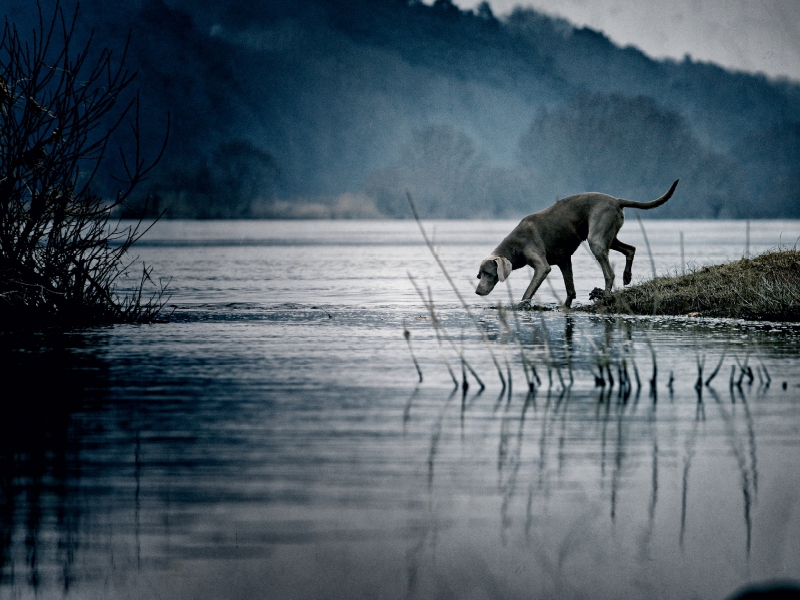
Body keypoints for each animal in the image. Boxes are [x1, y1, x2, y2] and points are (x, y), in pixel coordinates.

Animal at [478, 179, 680, 308]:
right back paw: (627, 277)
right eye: (479, 275)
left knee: (609, 273)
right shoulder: (564, 260)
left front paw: (521, 305)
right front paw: (565, 306)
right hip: (609, 236)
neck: (514, 245)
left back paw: (606, 296)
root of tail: (616, 200)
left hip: (596, 238)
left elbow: (529, 290)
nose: (477, 292)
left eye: (488, 273)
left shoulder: (541, 265)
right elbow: (570, 289)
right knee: (630, 249)